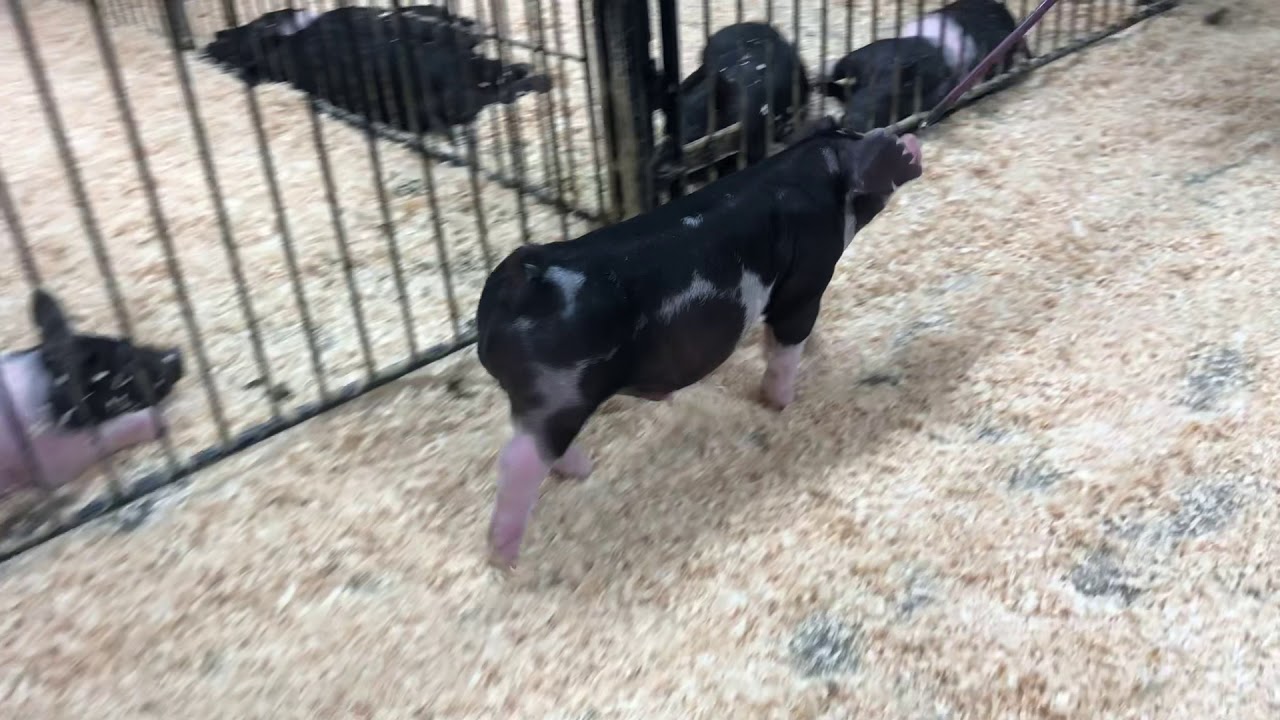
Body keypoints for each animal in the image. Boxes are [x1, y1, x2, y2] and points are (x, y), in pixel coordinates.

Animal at [475, 118, 924, 568]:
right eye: (890, 154)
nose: (911, 138)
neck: (816, 170)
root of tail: (521, 284)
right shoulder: (805, 283)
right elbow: (787, 345)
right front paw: (781, 403)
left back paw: (580, 473)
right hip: (561, 396)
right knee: (516, 461)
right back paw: (506, 556)